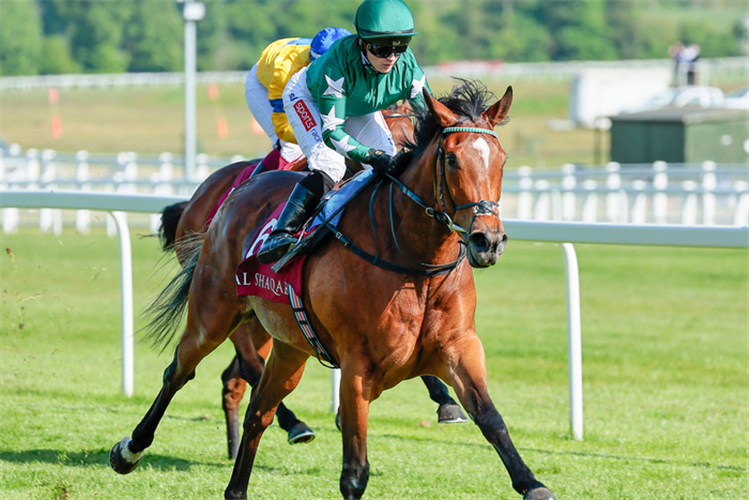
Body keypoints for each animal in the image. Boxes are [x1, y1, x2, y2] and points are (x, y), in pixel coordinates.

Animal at [158, 104, 464, 458]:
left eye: (409, 133)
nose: (399, 164)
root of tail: (198, 197)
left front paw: (446, 401)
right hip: (229, 301)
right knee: (248, 364)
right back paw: (293, 424)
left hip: (263, 317)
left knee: (234, 376)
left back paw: (236, 446)